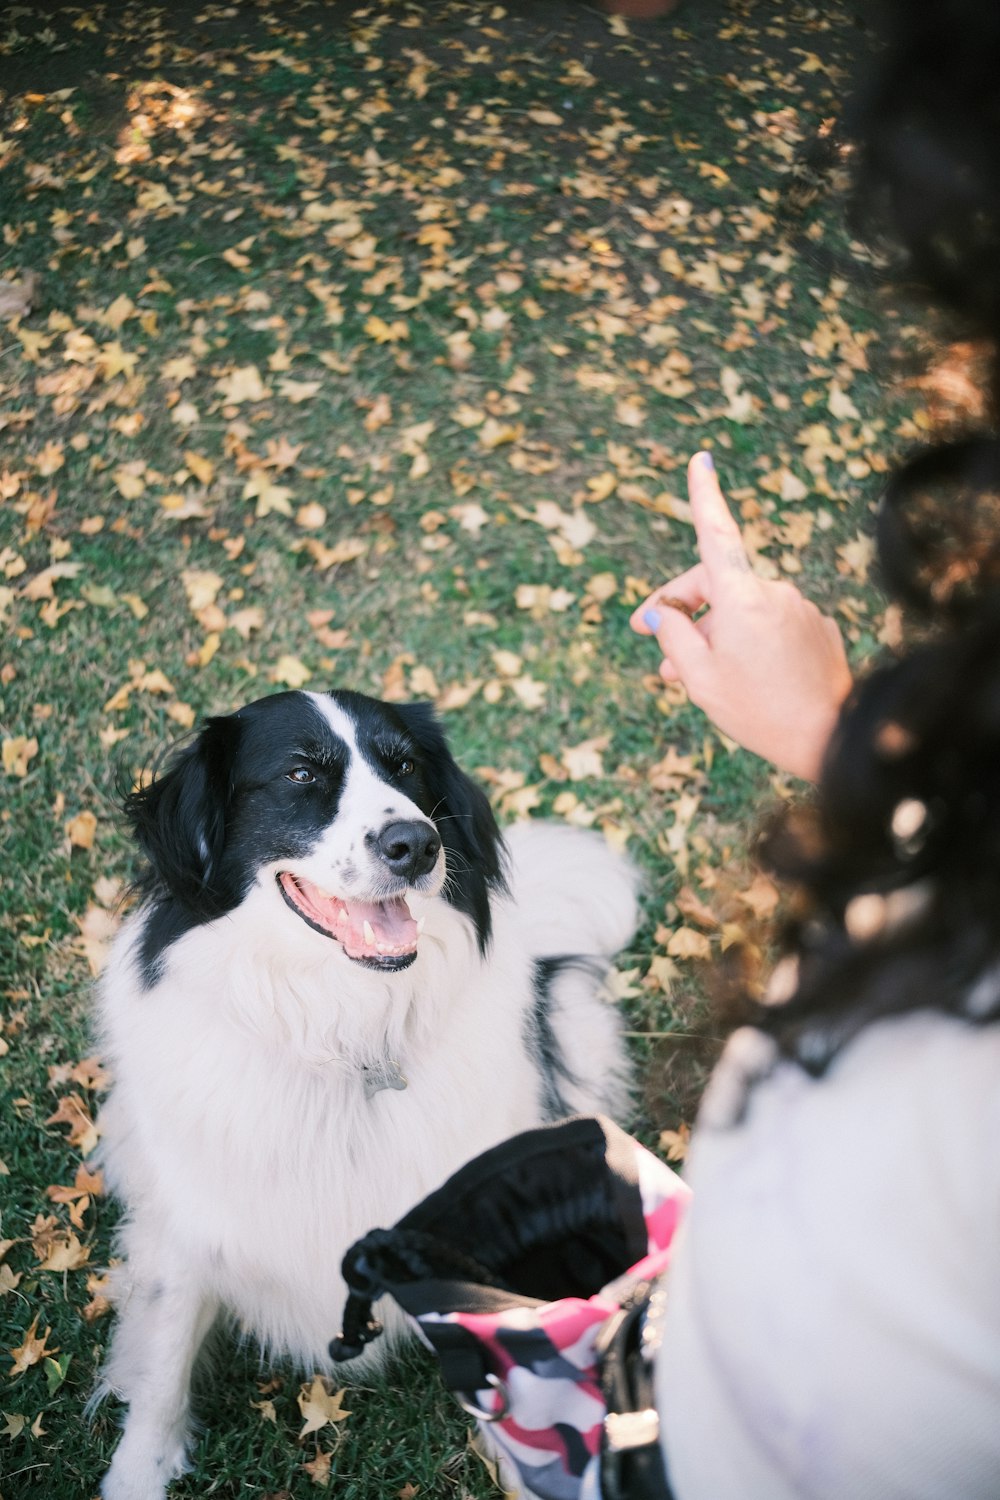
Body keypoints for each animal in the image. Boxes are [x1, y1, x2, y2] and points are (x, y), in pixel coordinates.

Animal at [95, 690, 641, 1500]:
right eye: (299, 773)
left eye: (405, 765)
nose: (415, 843)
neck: (344, 1036)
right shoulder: (186, 1215)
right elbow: (162, 1358)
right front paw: (137, 1472)